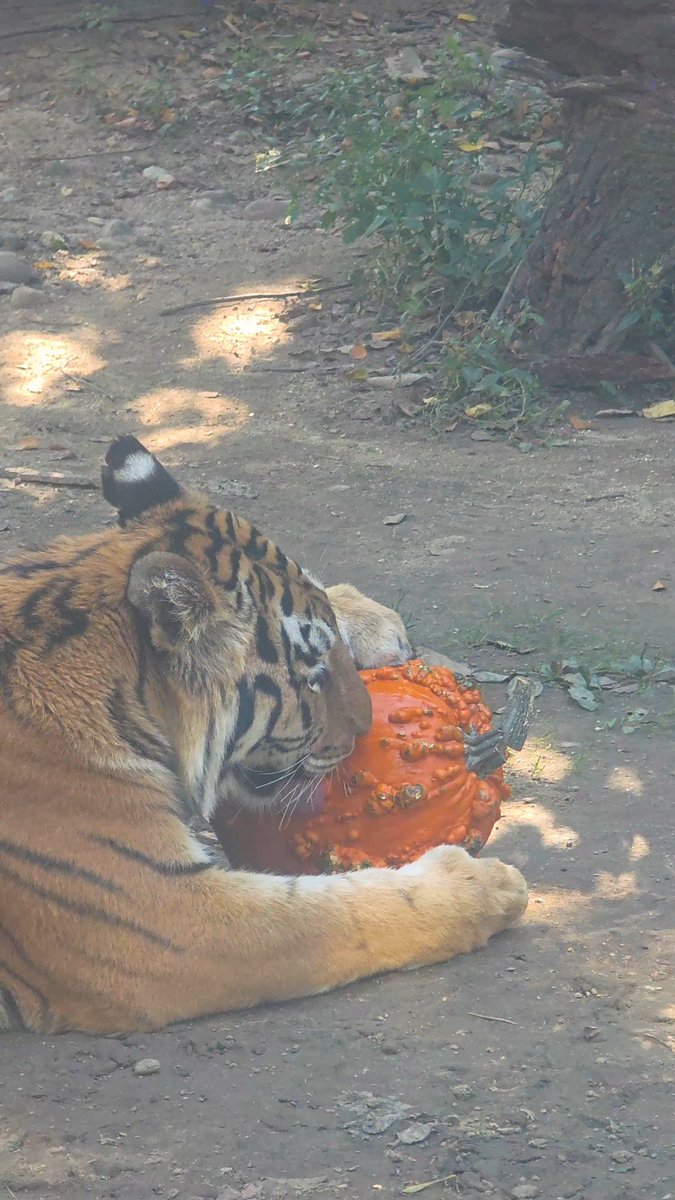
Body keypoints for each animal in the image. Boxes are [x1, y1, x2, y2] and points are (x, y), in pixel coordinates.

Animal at [0, 436, 527, 1034]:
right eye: (314, 677)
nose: (366, 725)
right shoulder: (158, 911)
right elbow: (335, 914)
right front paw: (482, 886)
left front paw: (363, 616)